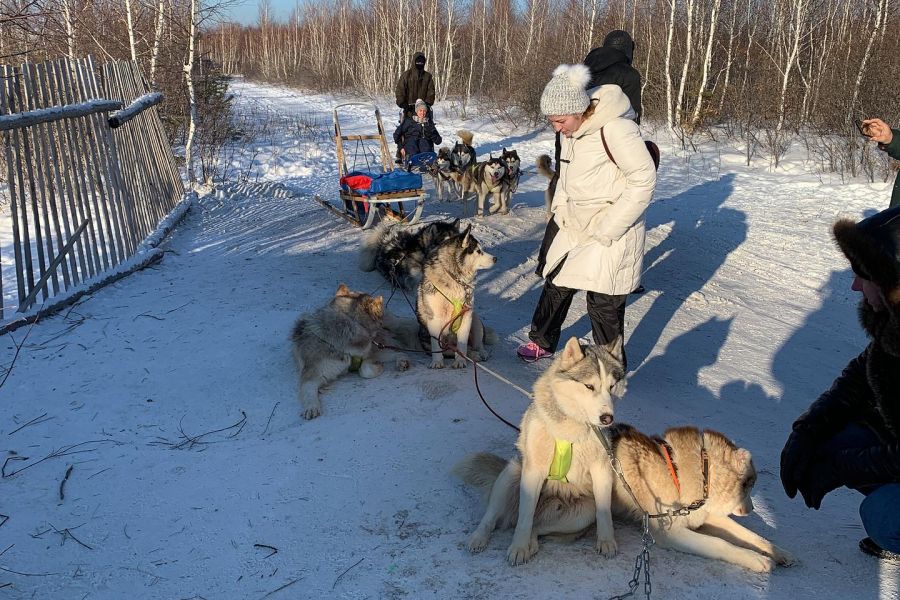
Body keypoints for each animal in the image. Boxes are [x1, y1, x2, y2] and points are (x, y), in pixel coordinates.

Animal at [290, 284, 414, 418]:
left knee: (399, 352)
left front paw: (376, 367)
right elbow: (308, 390)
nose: (382, 322)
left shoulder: (368, 353)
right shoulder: (313, 373)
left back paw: (402, 361)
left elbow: (365, 370)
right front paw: (311, 407)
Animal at [416, 224, 496, 368]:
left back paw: (480, 353)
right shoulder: (434, 319)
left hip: (475, 320)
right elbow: (437, 345)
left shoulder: (466, 317)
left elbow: (462, 344)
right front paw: (437, 362)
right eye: (478, 251)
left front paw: (460, 361)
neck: (454, 278)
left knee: (477, 344)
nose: (495, 258)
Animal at [454, 340, 624, 564]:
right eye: (589, 386)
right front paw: (518, 547)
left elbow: (605, 513)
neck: (571, 427)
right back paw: (480, 537)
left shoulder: (601, 469)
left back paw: (532, 543)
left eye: (611, 387)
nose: (607, 418)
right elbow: (523, 521)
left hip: (584, 511)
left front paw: (606, 541)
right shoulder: (533, 472)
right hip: (512, 473)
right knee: (495, 517)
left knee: (537, 526)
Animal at [458, 420, 796, 576]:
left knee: (536, 527)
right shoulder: (671, 532)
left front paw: (777, 552)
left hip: (583, 514)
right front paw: (757, 560)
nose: (751, 508)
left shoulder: (706, 517)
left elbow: (750, 536)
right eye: (751, 485)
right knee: (505, 520)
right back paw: (495, 541)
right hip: (536, 483)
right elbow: (722, 544)